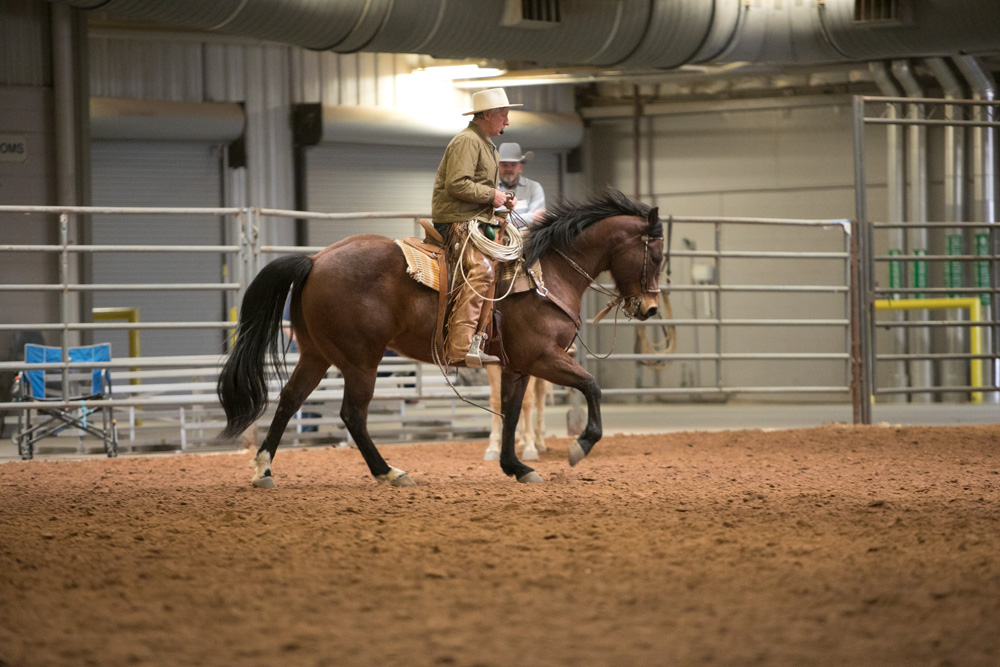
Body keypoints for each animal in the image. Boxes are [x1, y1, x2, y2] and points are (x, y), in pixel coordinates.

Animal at [215, 190, 660, 488]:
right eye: (655, 256)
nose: (650, 309)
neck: (545, 274)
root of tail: (316, 260)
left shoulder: (517, 367)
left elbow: (511, 412)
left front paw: (516, 467)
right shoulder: (543, 357)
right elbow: (591, 386)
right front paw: (580, 445)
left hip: (317, 354)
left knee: (290, 400)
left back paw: (264, 469)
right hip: (361, 361)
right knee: (352, 415)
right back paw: (389, 471)